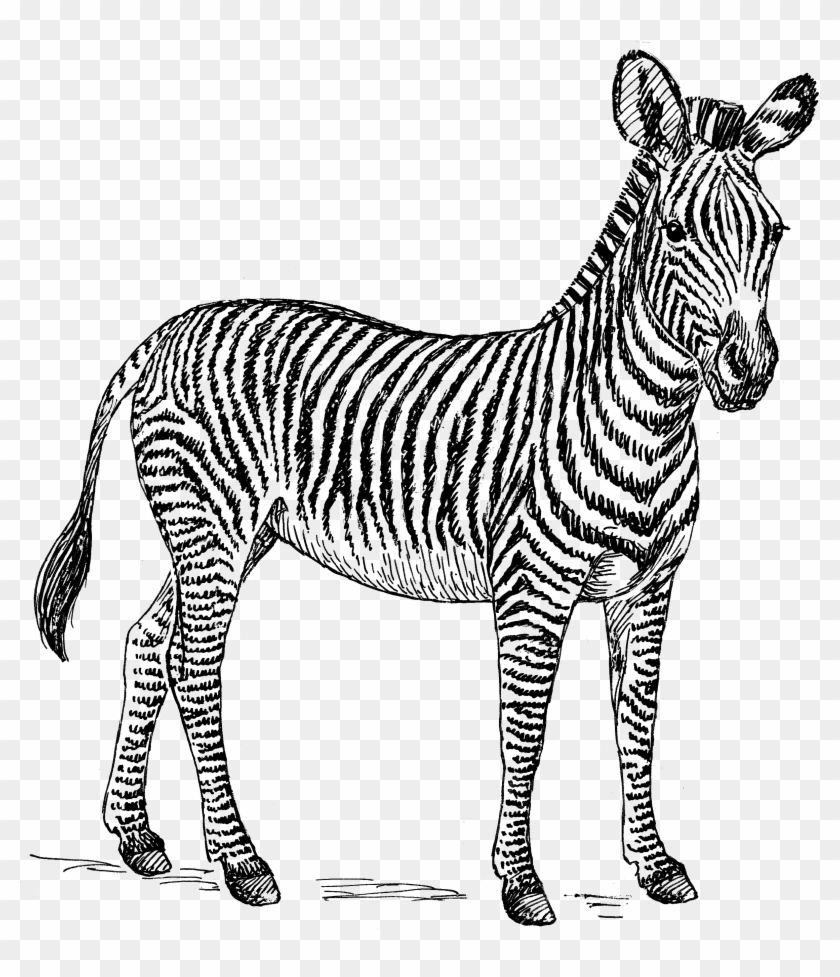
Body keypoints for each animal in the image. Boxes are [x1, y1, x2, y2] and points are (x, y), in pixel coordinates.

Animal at [34, 51, 816, 925]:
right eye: (676, 232)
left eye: (775, 234)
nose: (750, 372)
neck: (645, 417)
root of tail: (164, 335)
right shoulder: (533, 584)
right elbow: (526, 725)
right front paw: (521, 881)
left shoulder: (648, 586)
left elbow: (637, 721)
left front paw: (655, 866)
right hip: (213, 524)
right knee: (195, 668)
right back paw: (242, 863)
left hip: (228, 534)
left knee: (146, 642)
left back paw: (137, 838)